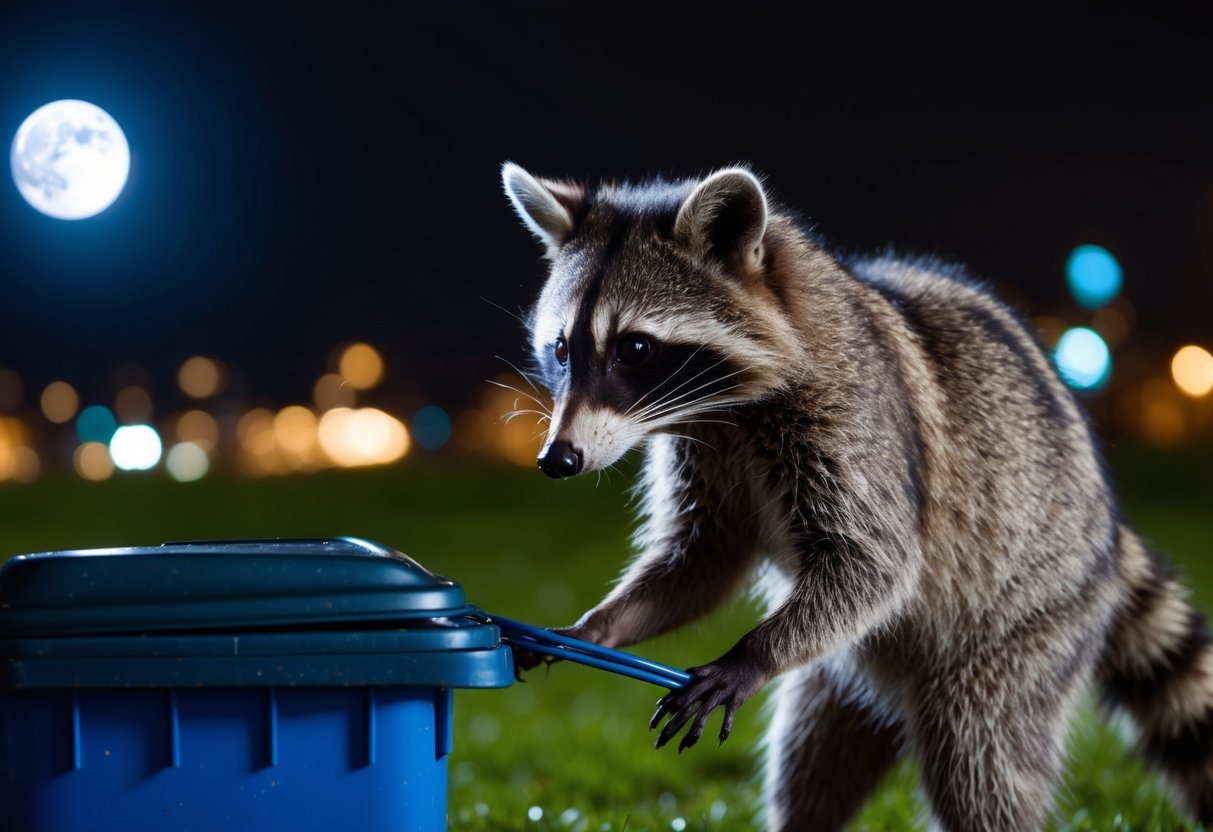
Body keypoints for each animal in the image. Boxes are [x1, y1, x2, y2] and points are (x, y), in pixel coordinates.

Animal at [500, 162, 1213, 831]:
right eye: (560, 348)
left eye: (635, 347)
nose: (557, 460)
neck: (725, 409)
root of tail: (1110, 538)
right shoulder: (703, 450)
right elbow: (701, 561)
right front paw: (602, 625)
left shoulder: (857, 420)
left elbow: (876, 563)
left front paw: (750, 653)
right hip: (839, 679)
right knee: (811, 763)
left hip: (1027, 626)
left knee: (979, 759)